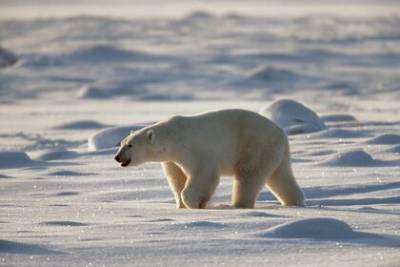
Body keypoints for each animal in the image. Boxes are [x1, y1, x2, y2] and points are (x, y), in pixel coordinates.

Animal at [114, 109, 304, 209]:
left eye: (130, 145)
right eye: (121, 143)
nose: (117, 157)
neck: (173, 137)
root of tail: (281, 133)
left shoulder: (194, 149)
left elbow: (204, 174)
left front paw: (196, 203)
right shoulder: (171, 160)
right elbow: (176, 178)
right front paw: (180, 205)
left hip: (255, 146)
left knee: (248, 176)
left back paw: (238, 204)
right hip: (274, 152)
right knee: (280, 176)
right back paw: (294, 201)